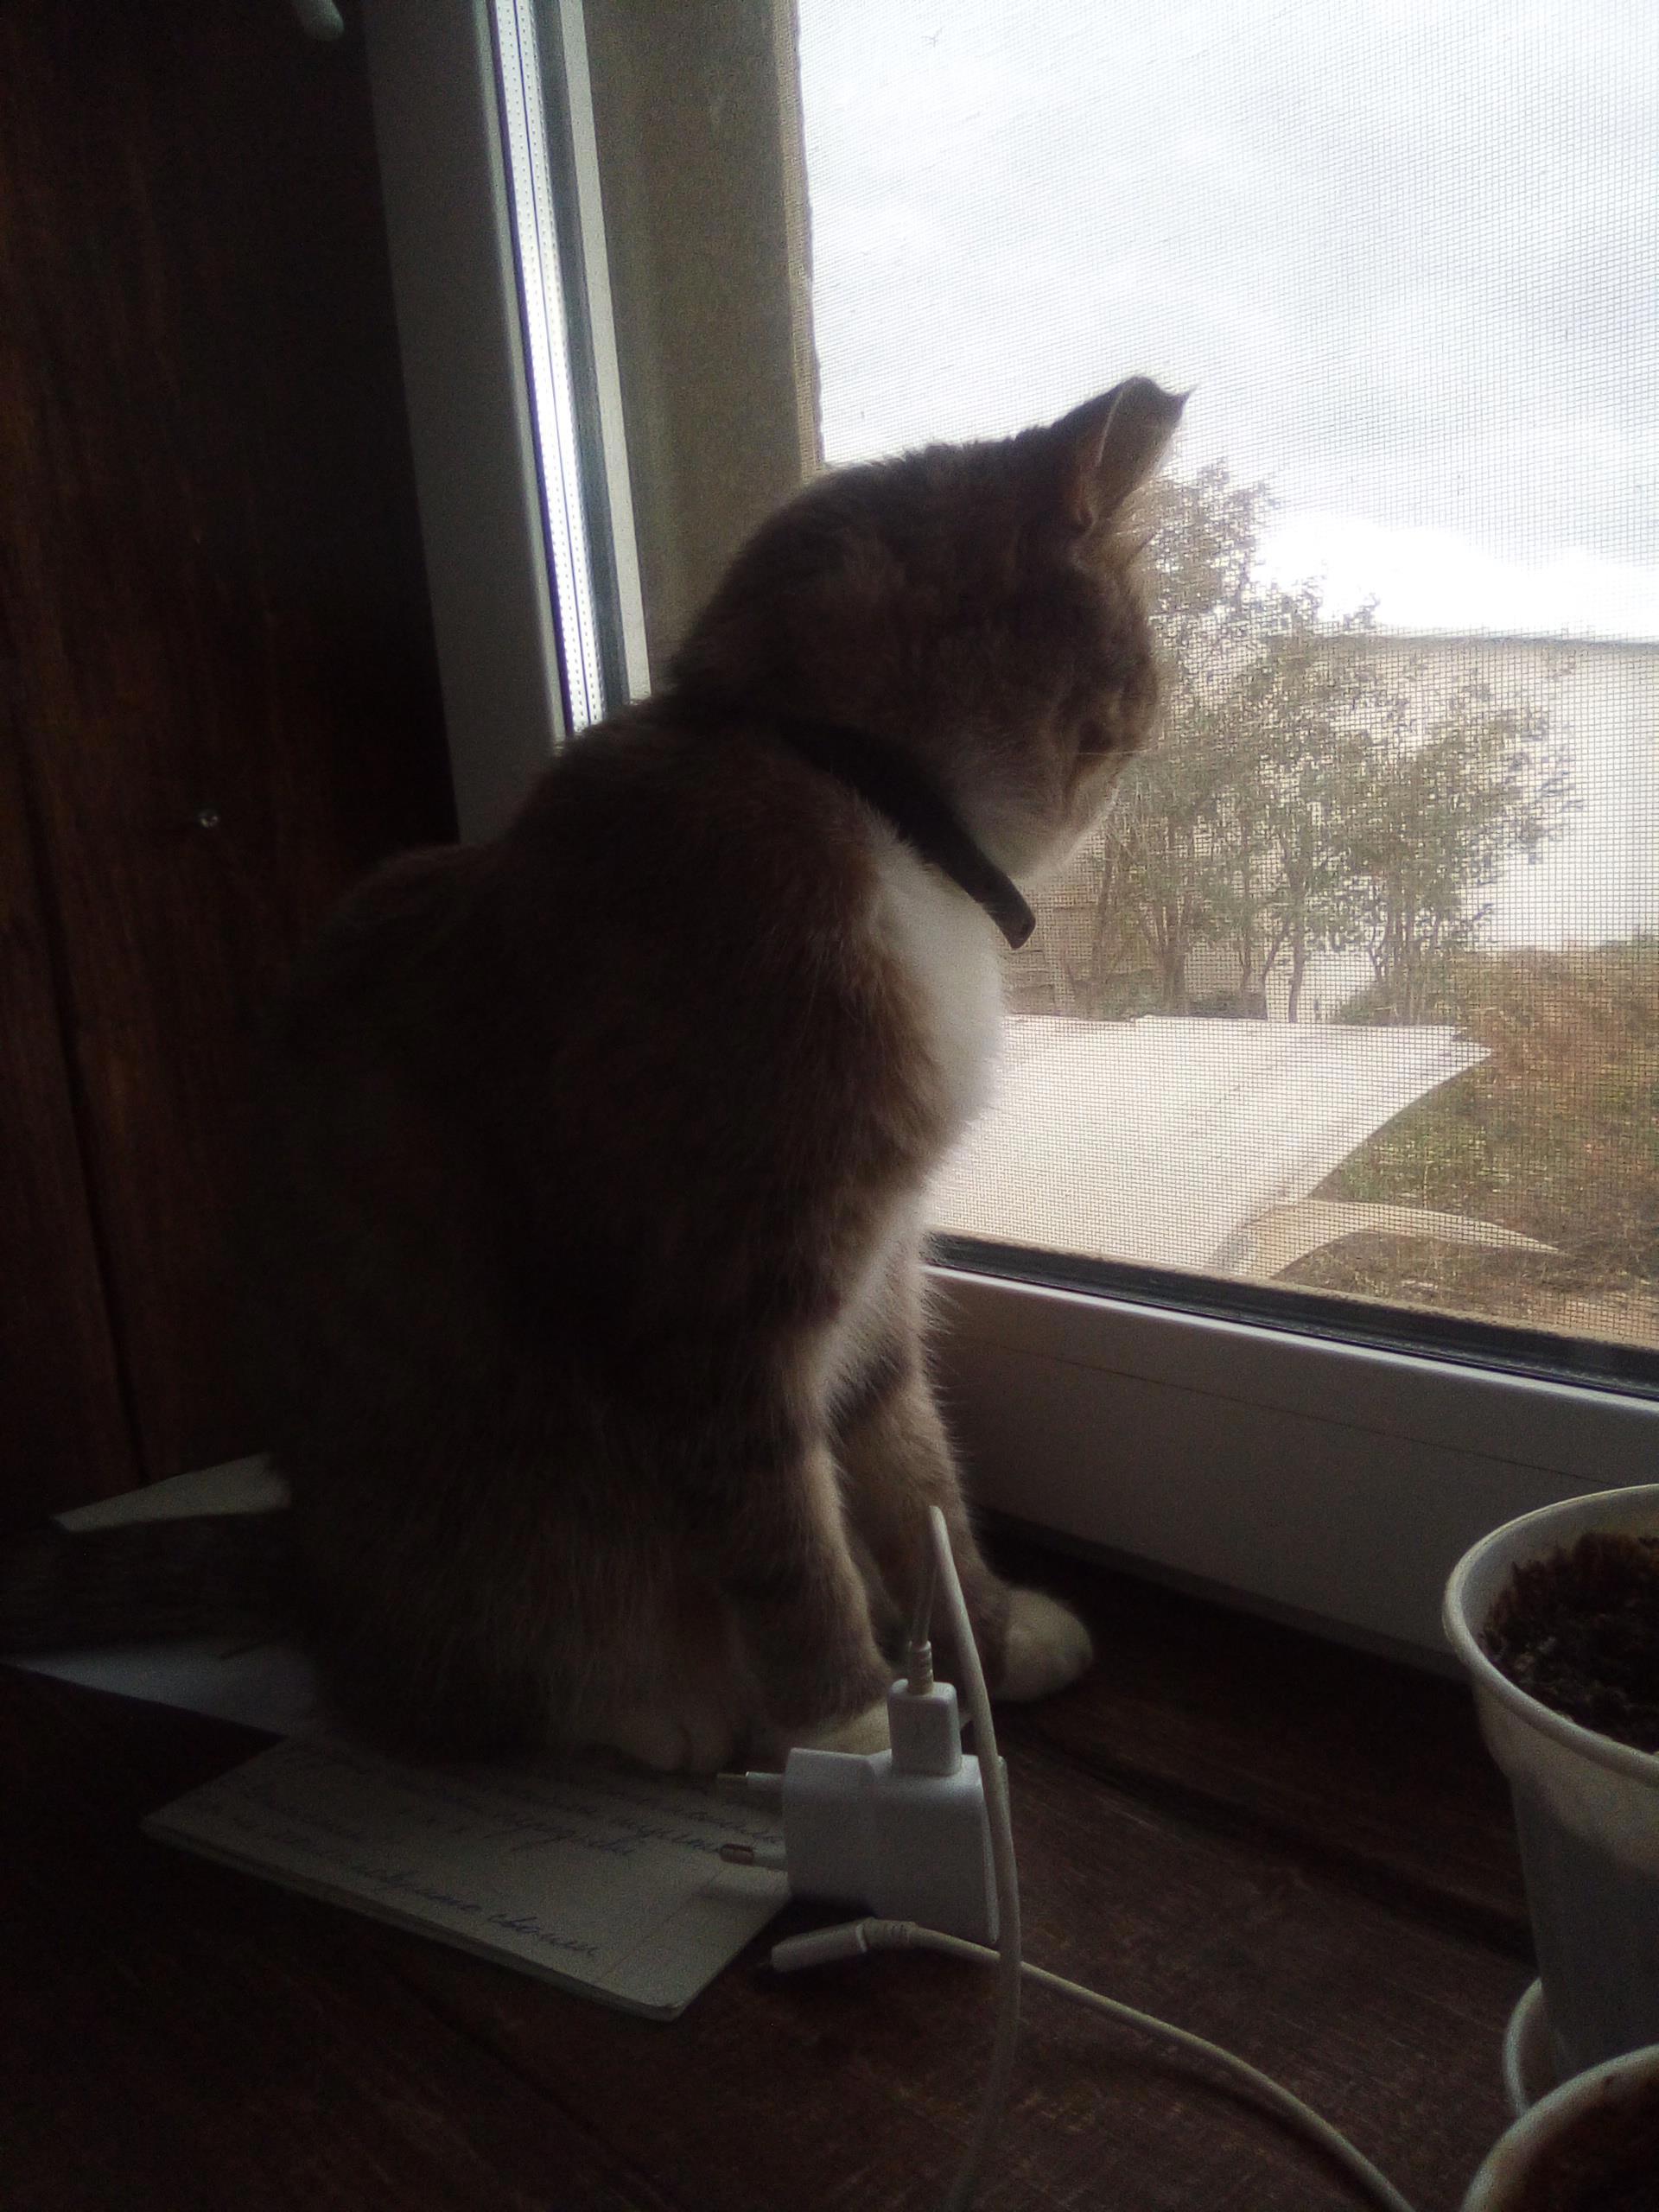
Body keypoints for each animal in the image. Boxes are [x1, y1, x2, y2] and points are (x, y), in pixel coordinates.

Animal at [4, 375, 1184, 1772]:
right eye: (1132, 681)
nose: (1158, 726)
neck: (852, 798)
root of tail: (308, 1572)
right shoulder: (712, 1304)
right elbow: (793, 1545)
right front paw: (856, 1732)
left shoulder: (880, 1273)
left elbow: (916, 1476)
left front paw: (985, 1642)